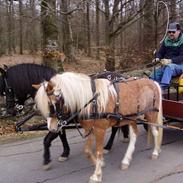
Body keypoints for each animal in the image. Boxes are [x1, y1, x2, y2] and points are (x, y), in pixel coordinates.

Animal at [34, 71, 163, 183]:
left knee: (155, 132)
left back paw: (155, 152)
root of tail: (153, 82)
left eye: (53, 103)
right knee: (134, 135)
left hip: (150, 114)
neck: (92, 101)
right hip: (131, 118)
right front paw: (99, 164)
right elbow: (87, 151)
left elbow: (99, 152)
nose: (52, 128)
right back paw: (126, 160)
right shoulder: (89, 129)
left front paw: (97, 175)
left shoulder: (100, 130)